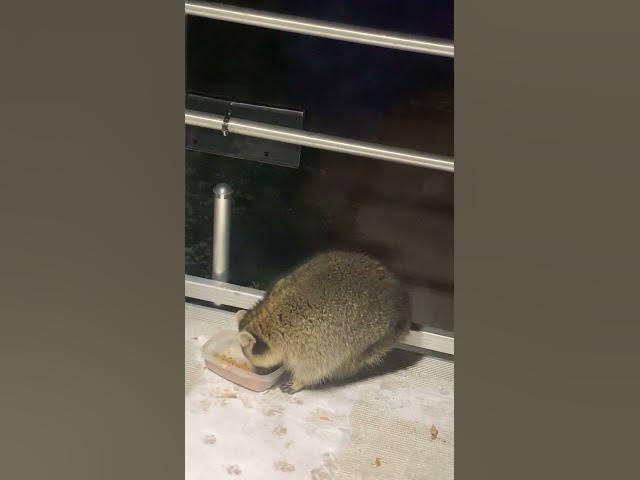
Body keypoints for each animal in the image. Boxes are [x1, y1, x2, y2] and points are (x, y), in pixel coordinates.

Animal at [236, 250, 410, 394]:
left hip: (373, 337)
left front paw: (299, 381)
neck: (271, 321)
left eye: (256, 363)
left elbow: (315, 368)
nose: (256, 374)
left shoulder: (312, 342)